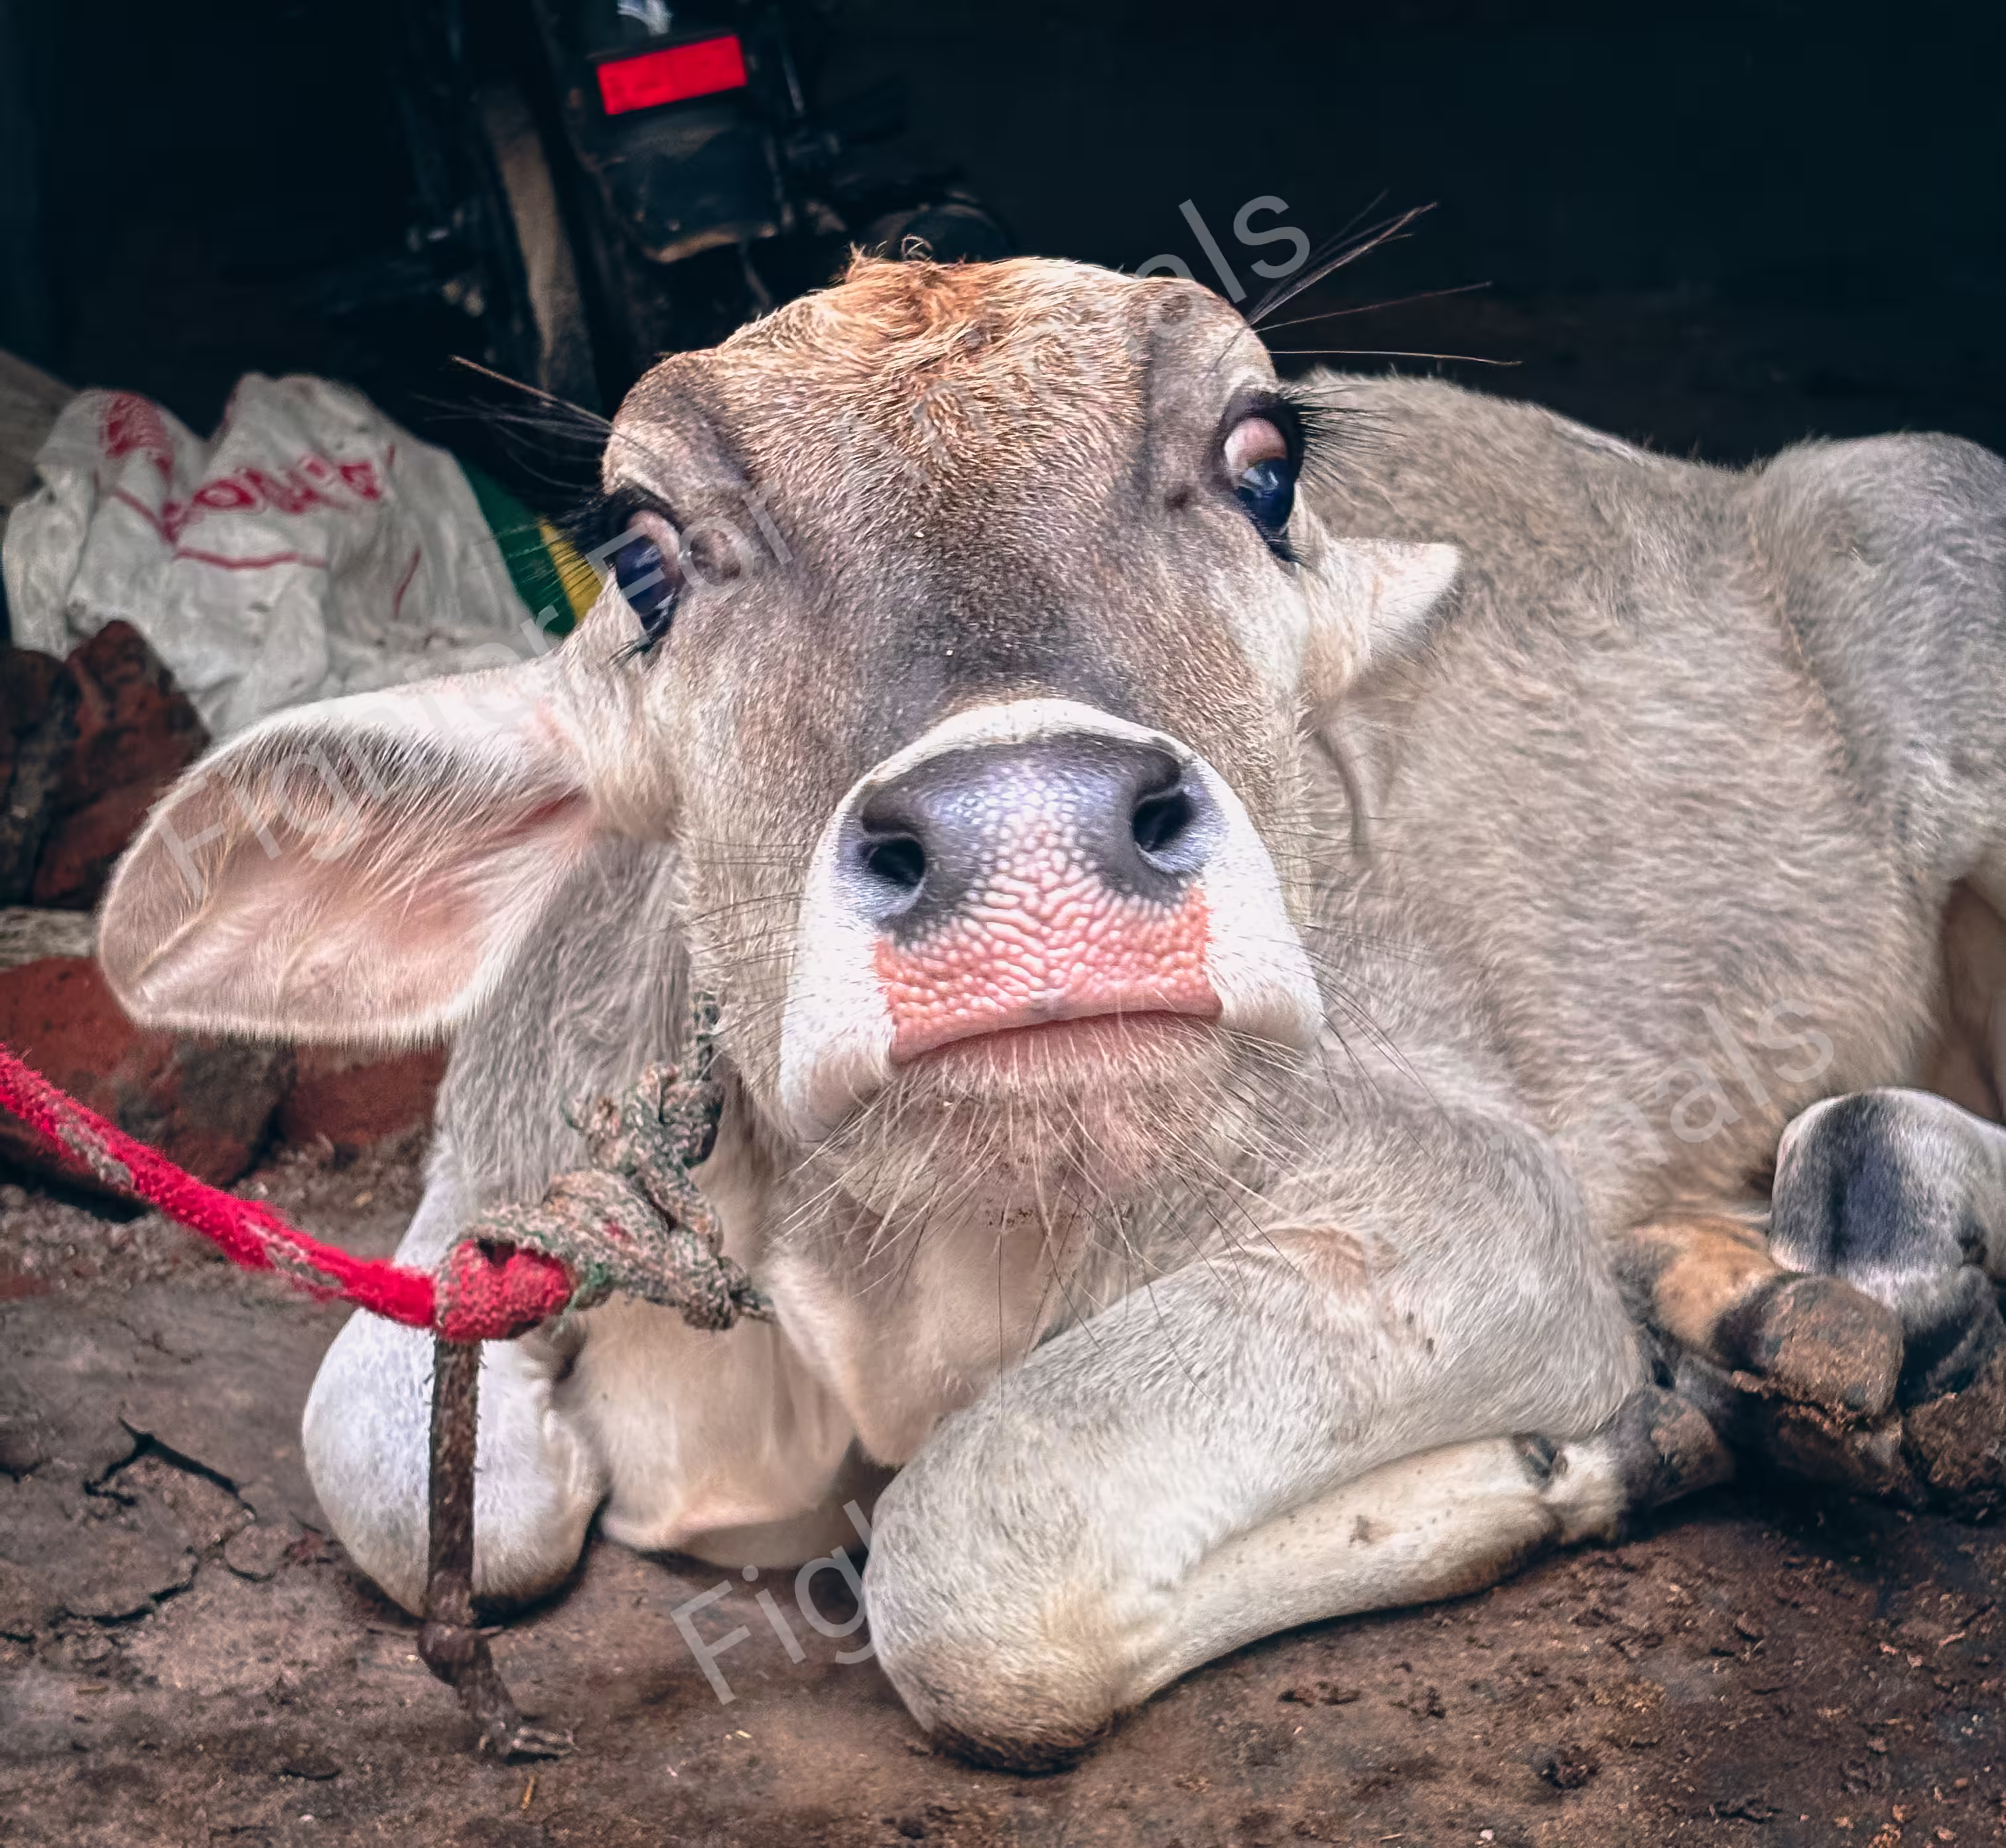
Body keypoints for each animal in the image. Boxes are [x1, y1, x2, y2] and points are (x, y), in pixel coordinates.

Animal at [98, 255, 2006, 1769]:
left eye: (1264, 466)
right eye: (642, 556)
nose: (1029, 835)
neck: (876, 1274)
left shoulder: (1466, 1195)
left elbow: (973, 1567)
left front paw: (1593, 1450)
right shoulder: (479, 1186)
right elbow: (406, 1466)